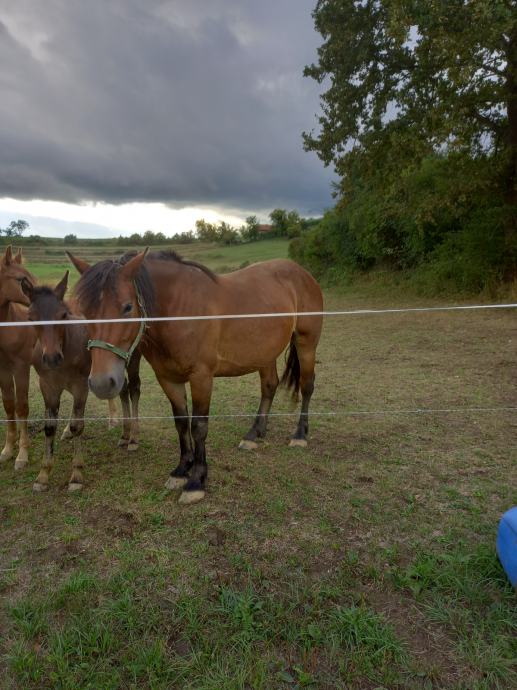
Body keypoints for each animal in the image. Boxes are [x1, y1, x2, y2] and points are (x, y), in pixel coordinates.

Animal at [22, 268, 141, 490]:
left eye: (63, 315)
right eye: (31, 317)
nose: (51, 358)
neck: (67, 347)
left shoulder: (81, 386)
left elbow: (78, 426)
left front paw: (76, 475)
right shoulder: (48, 386)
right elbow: (49, 427)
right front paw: (43, 475)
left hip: (129, 360)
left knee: (133, 389)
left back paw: (132, 438)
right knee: (122, 390)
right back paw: (124, 434)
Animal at [66, 250, 320, 502]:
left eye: (127, 307)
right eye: (85, 312)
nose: (102, 383)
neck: (178, 313)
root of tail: (302, 273)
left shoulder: (202, 377)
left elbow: (198, 426)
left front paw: (197, 481)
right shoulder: (168, 378)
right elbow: (181, 423)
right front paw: (181, 470)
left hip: (306, 343)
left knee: (307, 386)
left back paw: (299, 435)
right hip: (265, 353)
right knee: (269, 386)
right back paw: (254, 434)